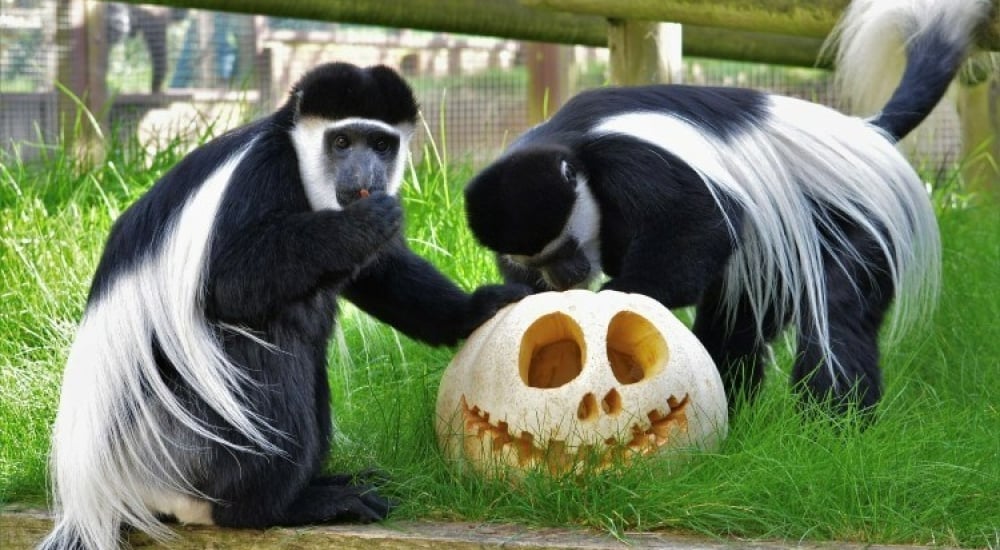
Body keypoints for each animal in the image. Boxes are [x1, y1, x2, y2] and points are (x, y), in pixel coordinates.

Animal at [39, 62, 529, 550]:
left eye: (381, 144)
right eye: (341, 142)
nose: (365, 174)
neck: (300, 162)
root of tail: (104, 489)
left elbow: (380, 273)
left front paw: (479, 307)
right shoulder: (261, 173)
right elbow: (230, 280)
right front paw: (361, 223)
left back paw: (329, 484)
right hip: (181, 443)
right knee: (263, 348)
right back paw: (283, 506)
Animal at [464, 0, 992, 415]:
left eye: (565, 245)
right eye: (539, 260)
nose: (565, 278)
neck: (570, 147)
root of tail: (864, 134)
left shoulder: (633, 160)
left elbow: (700, 221)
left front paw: (617, 295)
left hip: (852, 220)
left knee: (839, 315)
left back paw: (833, 425)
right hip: (775, 257)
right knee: (737, 326)